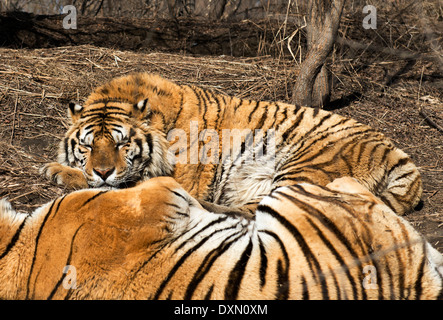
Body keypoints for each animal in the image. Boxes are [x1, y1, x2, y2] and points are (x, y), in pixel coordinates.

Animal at [41, 73, 424, 216]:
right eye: (88, 146)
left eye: (122, 146)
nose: (103, 172)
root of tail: (397, 152)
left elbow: (125, 183)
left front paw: (59, 171)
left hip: (307, 163)